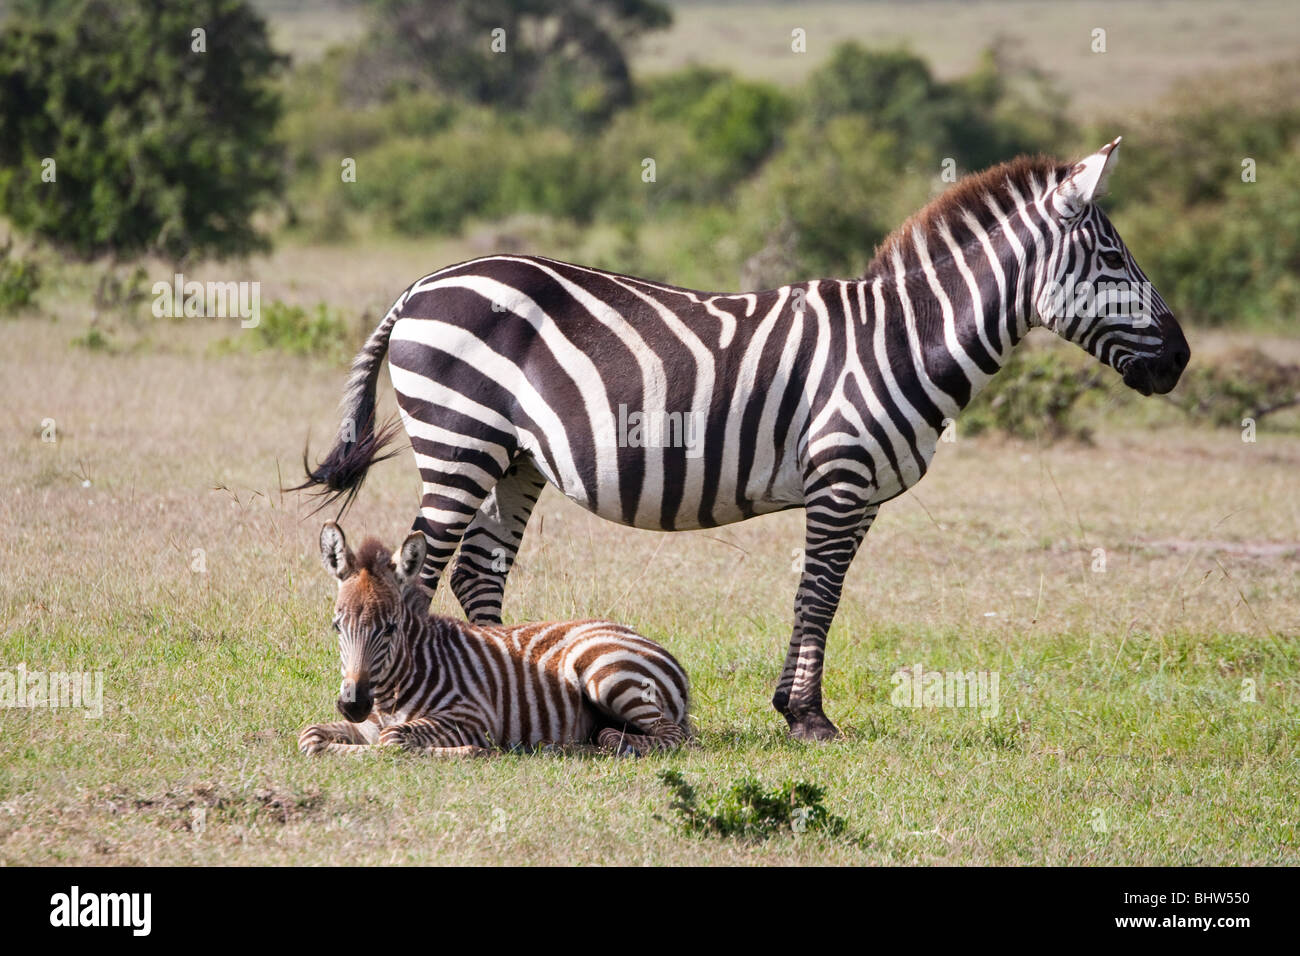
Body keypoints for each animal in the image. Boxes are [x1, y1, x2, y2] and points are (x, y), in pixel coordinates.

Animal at [298, 522, 691, 756]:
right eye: (337, 627)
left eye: (390, 628)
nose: (352, 704)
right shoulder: (369, 722)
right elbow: (311, 735)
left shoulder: (474, 717)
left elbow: (393, 740)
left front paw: (466, 752)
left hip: (606, 673)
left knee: (673, 736)